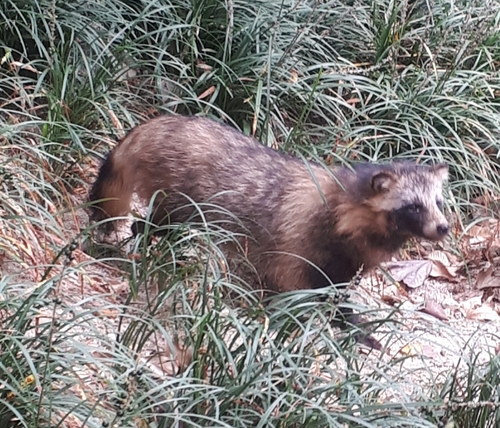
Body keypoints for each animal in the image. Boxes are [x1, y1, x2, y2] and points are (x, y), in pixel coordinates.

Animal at [89, 115, 450, 342]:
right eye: (413, 206)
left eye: (438, 202)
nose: (444, 228)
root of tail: (163, 123)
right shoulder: (299, 242)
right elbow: (298, 288)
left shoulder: (346, 261)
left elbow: (336, 292)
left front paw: (349, 322)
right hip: (181, 197)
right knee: (154, 224)